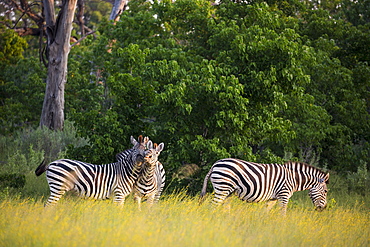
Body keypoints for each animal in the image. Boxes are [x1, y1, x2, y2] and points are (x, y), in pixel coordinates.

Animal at [199, 158, 330, 214]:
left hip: (228, 192)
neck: (294, 179)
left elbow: (264, 213)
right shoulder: (284, 195)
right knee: (212, 206)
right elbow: (283, 214)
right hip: (222, 187)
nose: (323, 209)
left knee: (224, 208)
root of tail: (215, 164)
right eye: (326, 191)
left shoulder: (273, 198)